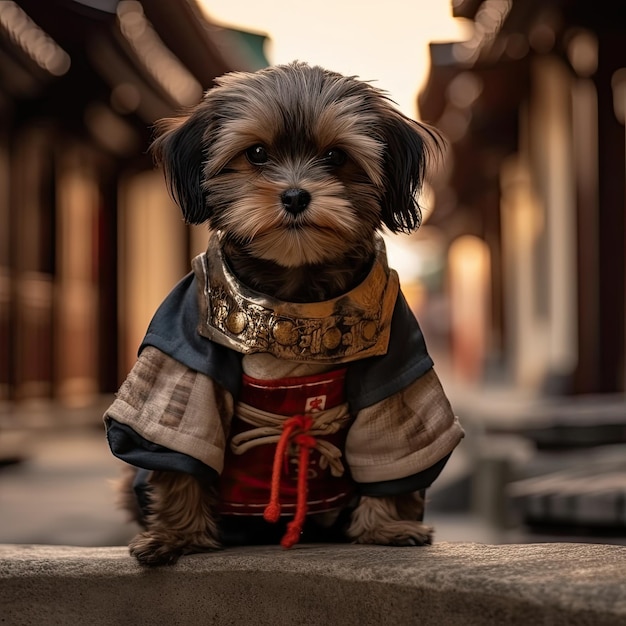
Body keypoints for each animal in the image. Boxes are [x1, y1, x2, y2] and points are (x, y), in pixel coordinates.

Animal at [105, 62, 460, 564]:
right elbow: (181, 441)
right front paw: (176, 535)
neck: (297, 281)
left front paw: (386, 527)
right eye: (256, 153)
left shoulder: (396, 367)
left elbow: (392, 447)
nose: (294, 196)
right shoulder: (183, 351)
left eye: (335, 157)